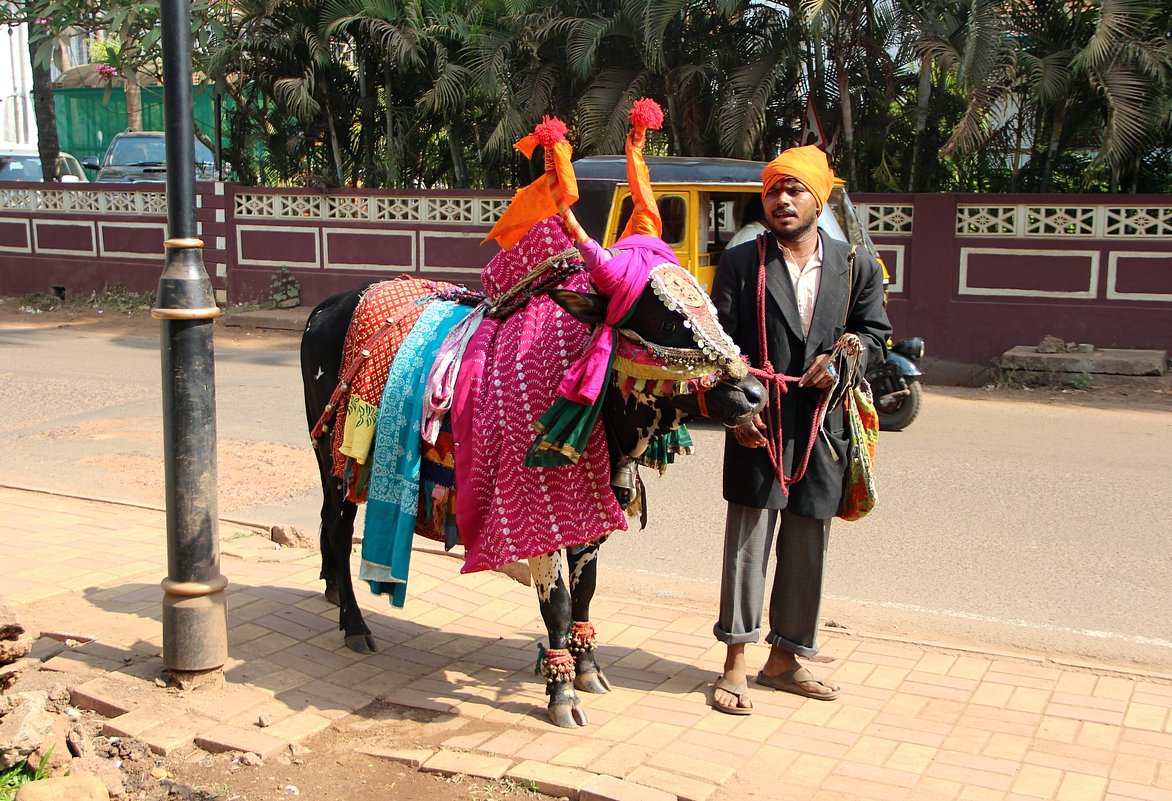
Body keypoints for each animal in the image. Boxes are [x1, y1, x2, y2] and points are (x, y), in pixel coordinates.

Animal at [297, 98, 764, 727]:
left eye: (708, 304)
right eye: (666, 319)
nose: (753, 393)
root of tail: (326, 308)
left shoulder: (594, 519)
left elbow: (586, 594)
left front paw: (587, 670)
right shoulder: (539, 521)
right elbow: (559, 604)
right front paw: (561, 692)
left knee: (329, 526)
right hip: (335, 460)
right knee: (338, 524)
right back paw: (352, 621)